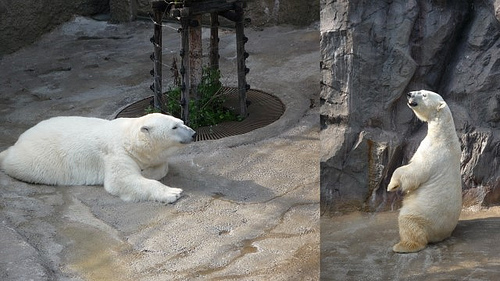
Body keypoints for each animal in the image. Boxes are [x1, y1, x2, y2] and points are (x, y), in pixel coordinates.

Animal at [0, 112, 195, 202]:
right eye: (174, 127)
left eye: (182, 122)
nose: (193, 134)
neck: (129, 138)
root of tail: (20, 139)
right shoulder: (116, 153)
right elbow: (120, 180)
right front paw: (173, 192)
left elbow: (161, 165)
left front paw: (146, 171)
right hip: (36, 160)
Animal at [386, 89, 460, 252]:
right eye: (420, 90)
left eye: (424, 95)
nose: (409, 94)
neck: (443, 135)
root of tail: (441, 234)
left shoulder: (432, 153)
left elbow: (414, 171)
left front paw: (392, 185)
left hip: (423, 213)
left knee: (408, 220)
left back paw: (402, 246)